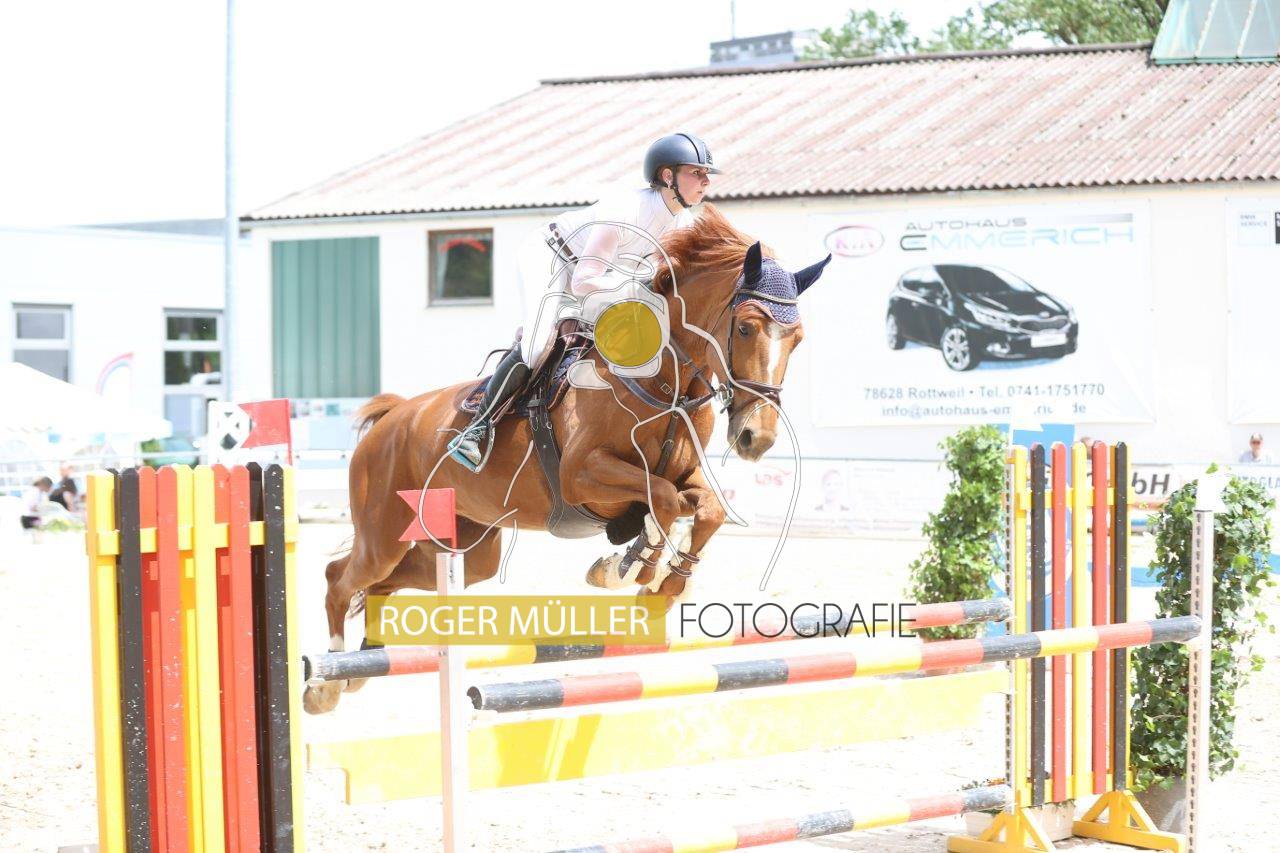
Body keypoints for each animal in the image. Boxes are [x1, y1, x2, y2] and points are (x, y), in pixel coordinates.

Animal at [303, 203, 830, 714]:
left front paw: (662, 587)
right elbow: (662, 498)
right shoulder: (582, 476)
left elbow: (704, 508)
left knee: (384, 584)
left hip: (465, 548)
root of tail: (392, 417)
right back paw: (325, 685)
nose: (756, 438)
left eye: (799, 339)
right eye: (745, 327)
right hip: (384, 533)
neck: (666, 380)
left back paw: (361, 665)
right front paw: (629, 569)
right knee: (340, 578)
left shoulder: (684, 475)